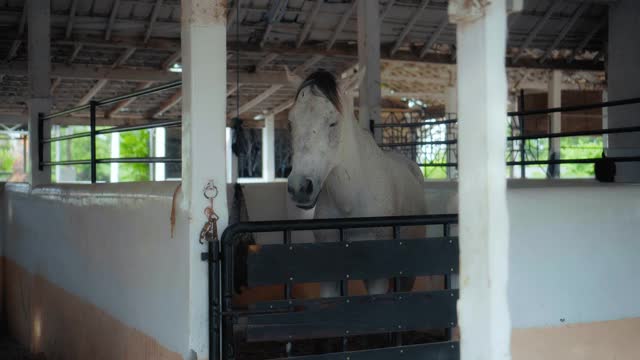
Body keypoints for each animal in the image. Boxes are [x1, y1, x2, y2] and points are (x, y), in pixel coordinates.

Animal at [284, 69, 424, 296]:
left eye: (333, 122)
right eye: (290, 123)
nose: (300, 187)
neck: (349, 201)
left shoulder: (377, 279)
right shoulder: (330, 279)